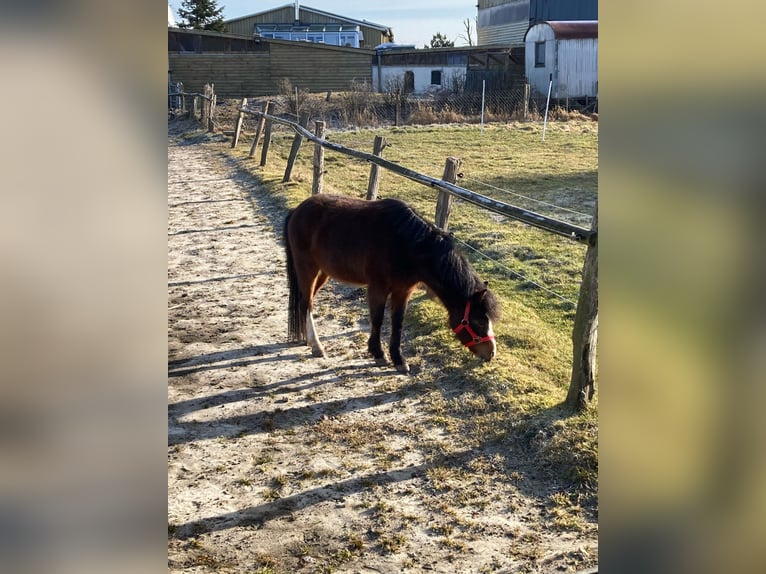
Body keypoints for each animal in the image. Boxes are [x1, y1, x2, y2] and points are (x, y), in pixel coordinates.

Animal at [284, 195, 500, 374]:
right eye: (479, 321)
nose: (491, 353)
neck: (408, 245)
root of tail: (298, 210)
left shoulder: (402, 291)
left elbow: (397, 323)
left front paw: (399, 359)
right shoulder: (378, 288)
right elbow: (378, 319)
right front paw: (378, 354)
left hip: (323, 273)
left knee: (305, 302)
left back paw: (307, 339)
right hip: (307, 269)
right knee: (307, 304)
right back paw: (317, 346)